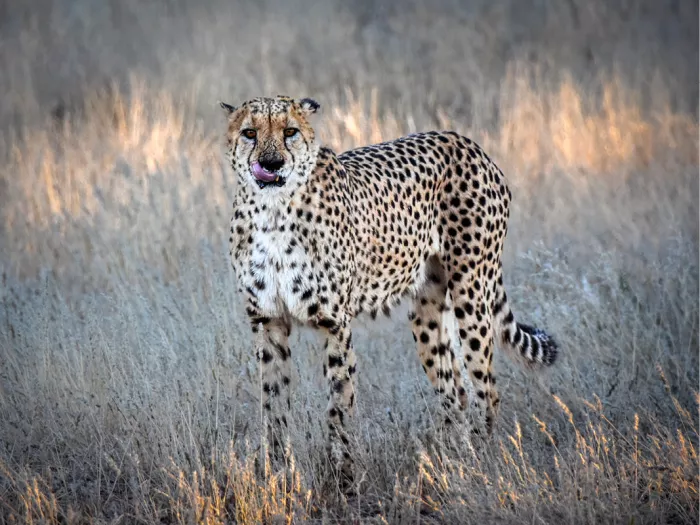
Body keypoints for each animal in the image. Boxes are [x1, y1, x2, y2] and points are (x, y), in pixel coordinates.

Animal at [220, 95, 558, 487]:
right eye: (250, 133)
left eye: (290, 132)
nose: (270, 164)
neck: (272, 212)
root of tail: (465, 142)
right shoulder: (268, 321)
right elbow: (272, 408)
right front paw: (276, 478)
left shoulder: (335, 322)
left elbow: (339, 403)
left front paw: (345, 478)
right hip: (427, 313)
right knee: (454, 391)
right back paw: (453, 463)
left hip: (472, 293)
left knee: (486, 390)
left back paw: (480, 465)